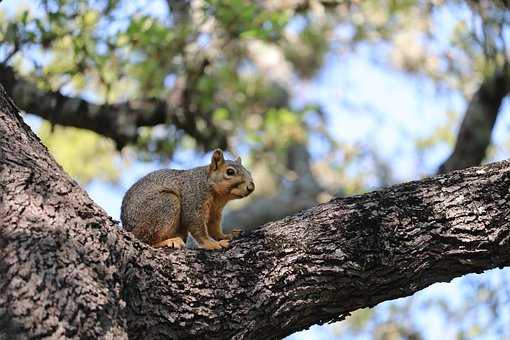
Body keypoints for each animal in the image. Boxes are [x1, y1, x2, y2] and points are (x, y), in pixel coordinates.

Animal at [120, 149, 255, 250]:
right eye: (230, 172)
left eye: (249, 172)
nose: (251, 187)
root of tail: (128, 228)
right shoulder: (193, 199)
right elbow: (196, 226)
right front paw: (211, 244)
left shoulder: (215, 212)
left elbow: (214, 228)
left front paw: (226, 236)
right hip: (165, 203)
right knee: (146, 240)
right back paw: (169, 241)